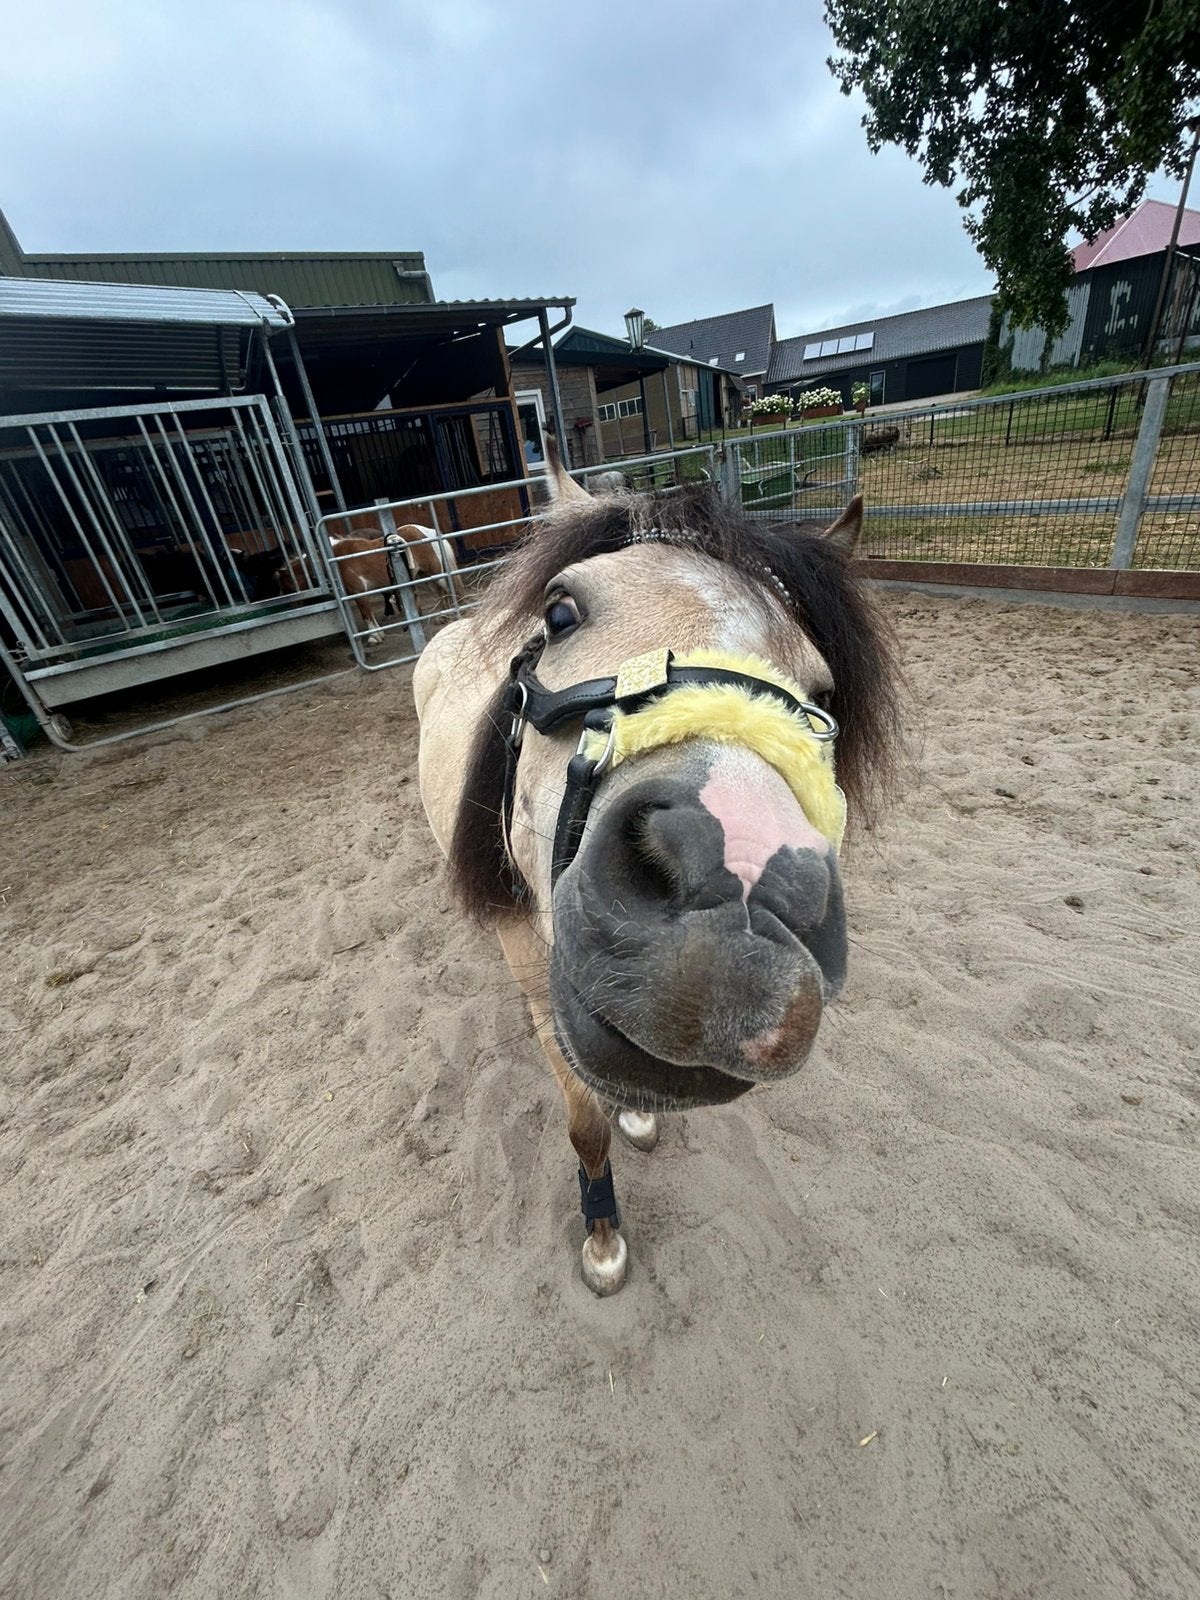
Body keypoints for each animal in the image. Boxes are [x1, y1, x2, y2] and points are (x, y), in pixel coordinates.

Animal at [413, 467, 898, 1294]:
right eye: (562, 610)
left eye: (824, 694)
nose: (732, 890)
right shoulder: (532, 966)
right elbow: (583, 1120)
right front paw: (603, 1240)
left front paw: (637, 1117)